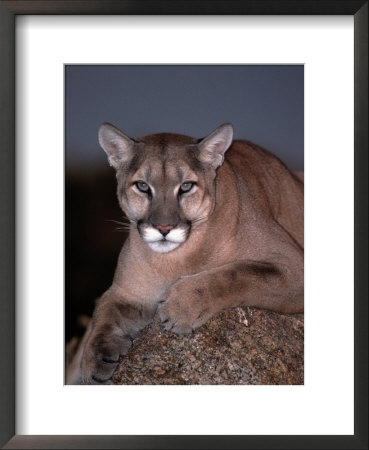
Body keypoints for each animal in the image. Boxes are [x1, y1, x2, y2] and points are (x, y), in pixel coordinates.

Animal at [66, 123, 302, 384]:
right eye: (143, 186)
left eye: (186, 186)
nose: (163, 228)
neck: (175, 260)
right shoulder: (128, 292)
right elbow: (104, 310)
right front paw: (94, 362)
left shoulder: (293, 265)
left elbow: (239, 274)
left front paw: (181, 306)